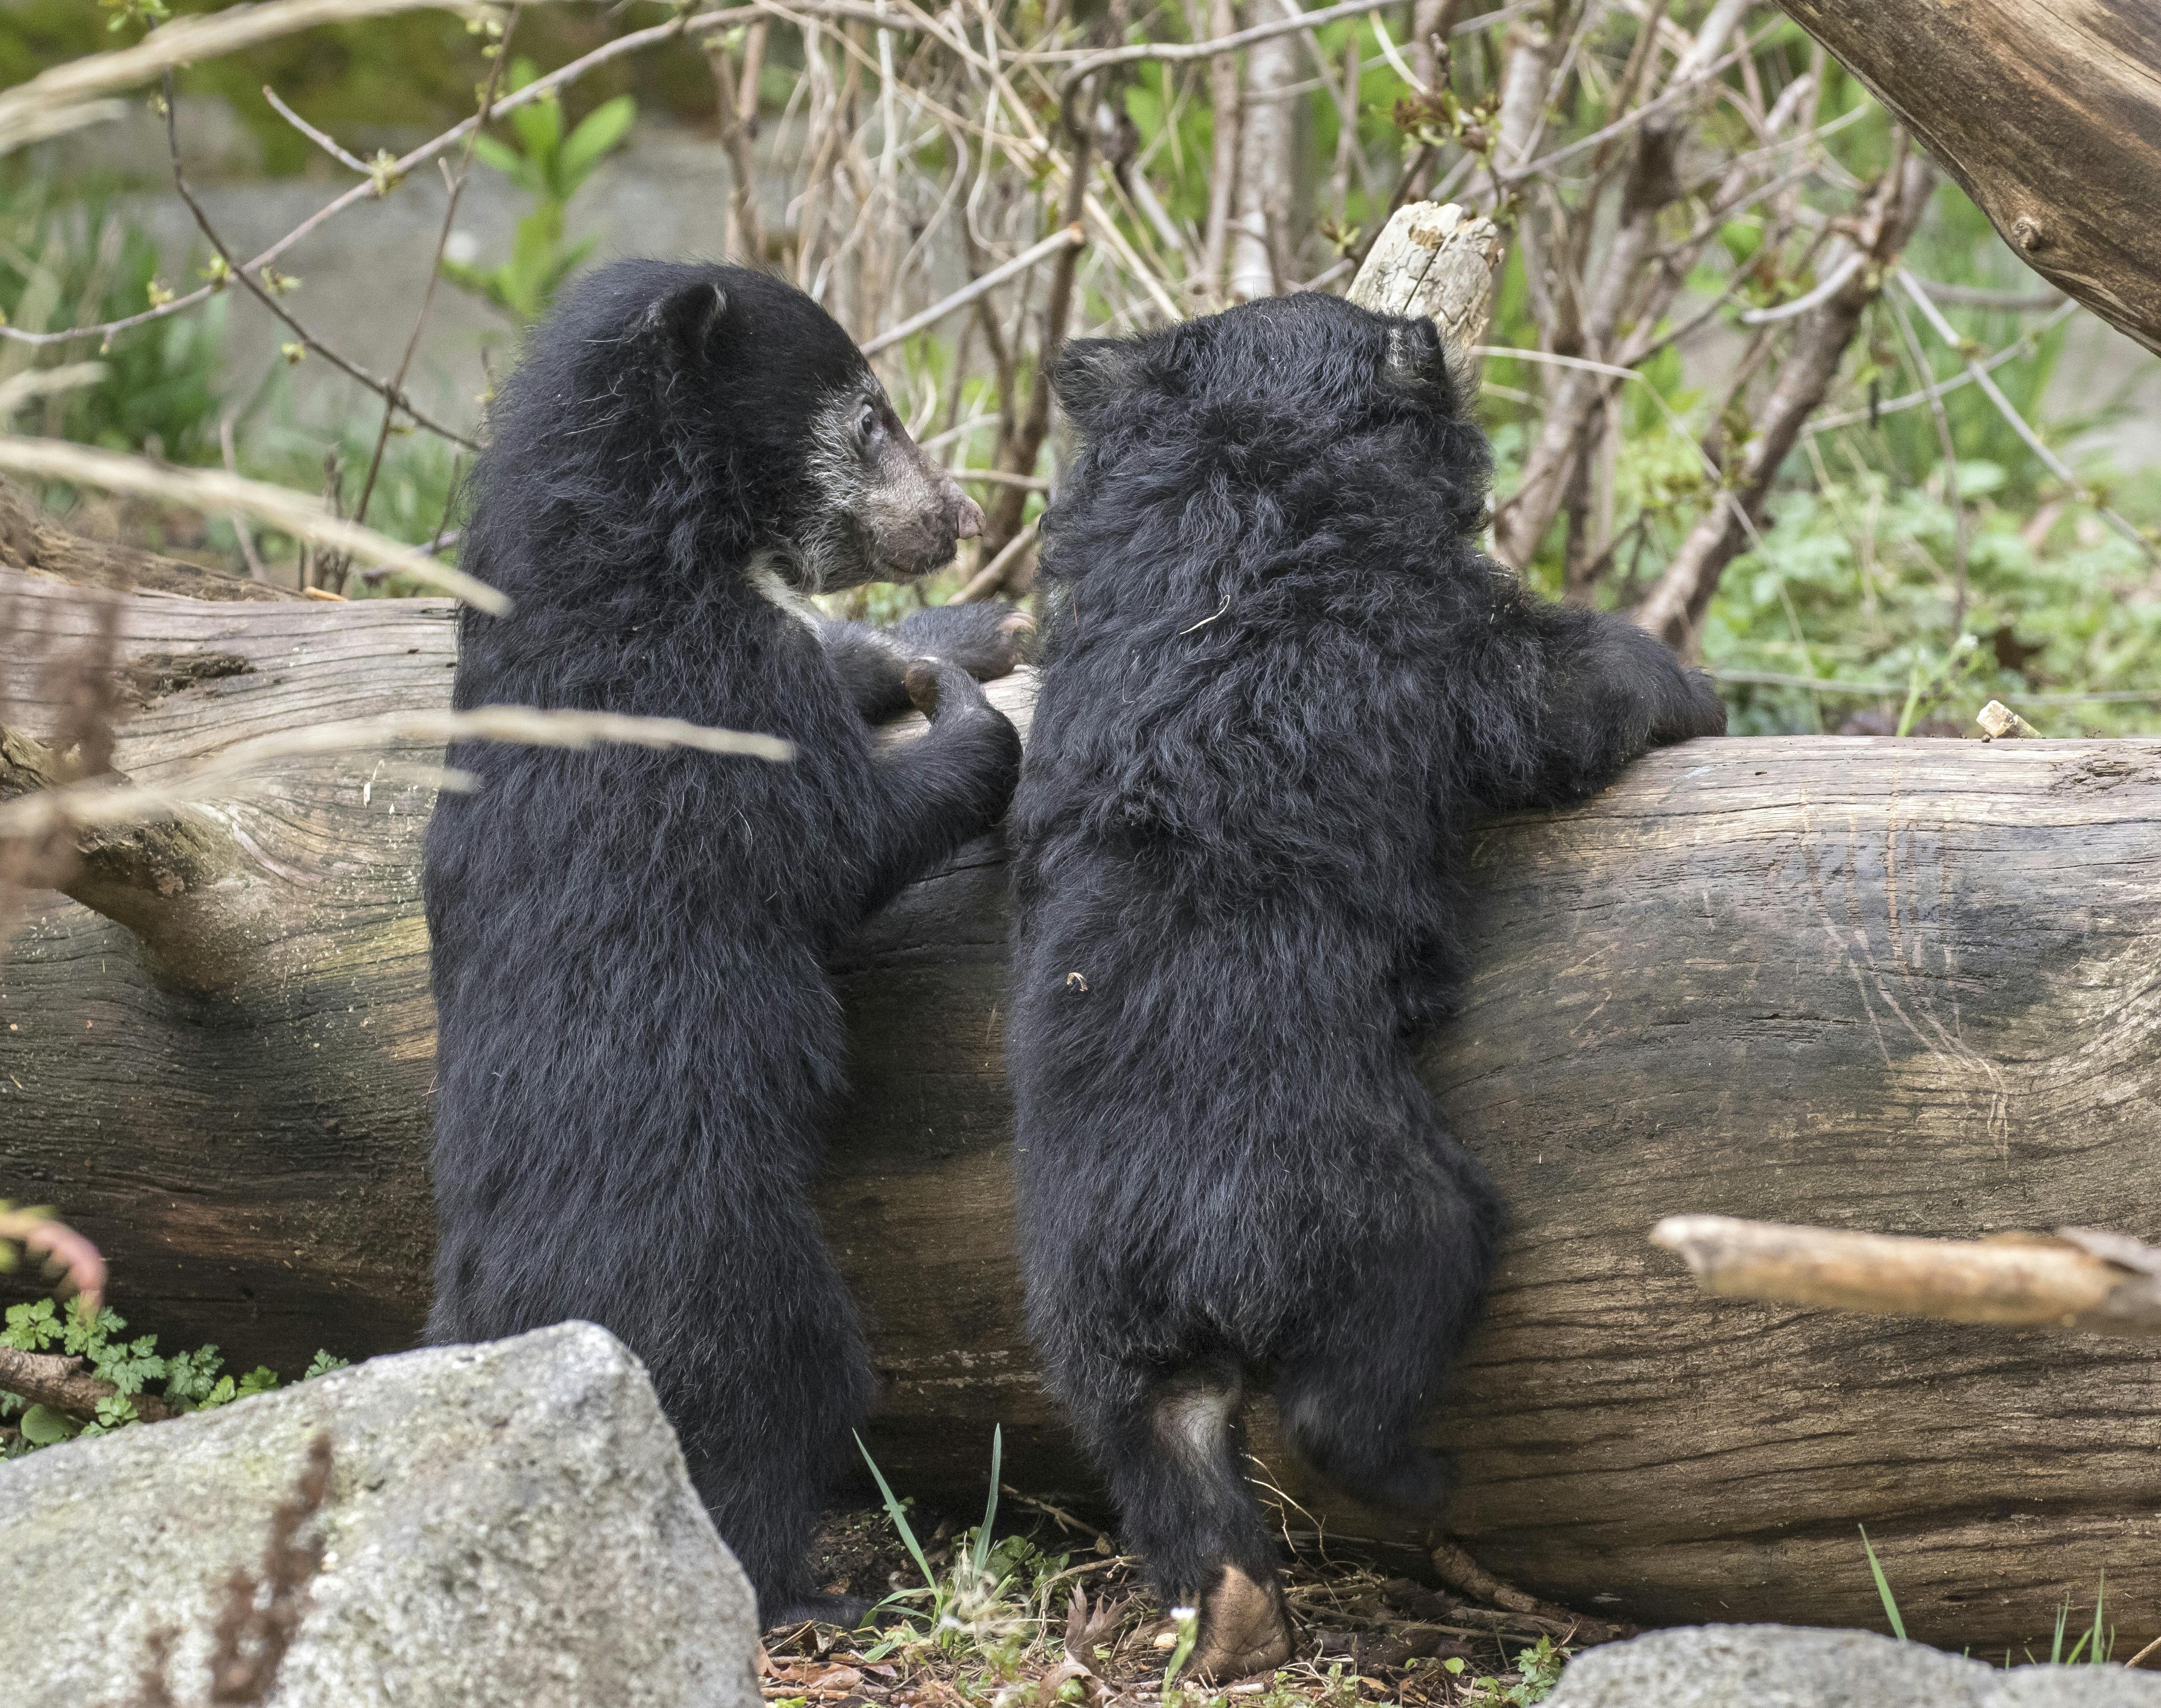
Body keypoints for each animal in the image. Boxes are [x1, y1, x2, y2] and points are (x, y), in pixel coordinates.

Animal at [423, 260, 1026, 1628]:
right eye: (870, 417)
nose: (961, 517)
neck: (651, 551)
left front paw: (959, 634)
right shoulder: (712, 702)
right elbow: (846, 837)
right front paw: (967, 709)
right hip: (736, 1274)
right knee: (772, 1412)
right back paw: (814, 1596)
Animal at [1006, 291, 1726, 1679]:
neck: (1235, 478)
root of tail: (1186, 1251)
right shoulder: (1441, 648)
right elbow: (1557, 696)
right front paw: (1692, 690)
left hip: (1086, 1311)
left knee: (1156, 1445)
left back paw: (1231, 1619)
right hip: (1373, 1213)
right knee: (1361, 1376)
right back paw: (1421, 1489)